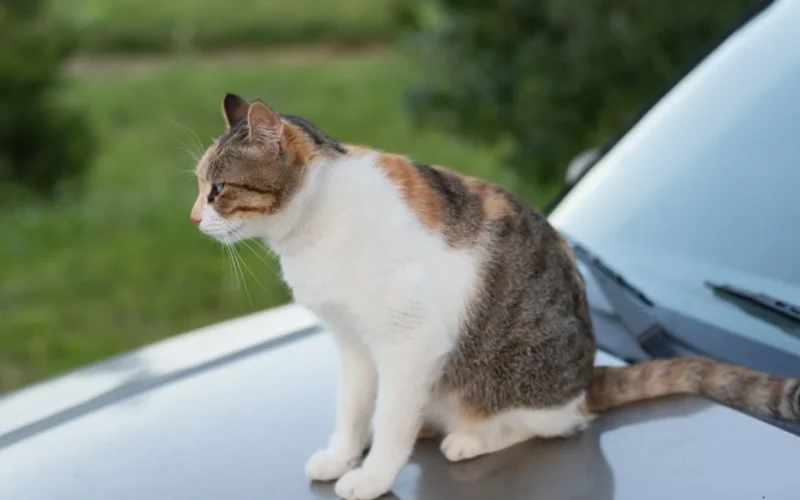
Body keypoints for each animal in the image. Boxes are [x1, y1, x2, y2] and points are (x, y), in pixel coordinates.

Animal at [192, 93, 800, 500]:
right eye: (199, 185)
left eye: (218, 189)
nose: (194, 218)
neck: (313, 223)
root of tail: (590, 374)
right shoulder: (353, 342)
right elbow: (353, 407)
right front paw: (343, 455)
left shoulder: (410, 342)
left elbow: (390, 420)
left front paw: (372, 474)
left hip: (511, 379)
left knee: (554, 422)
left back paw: (470, 437)